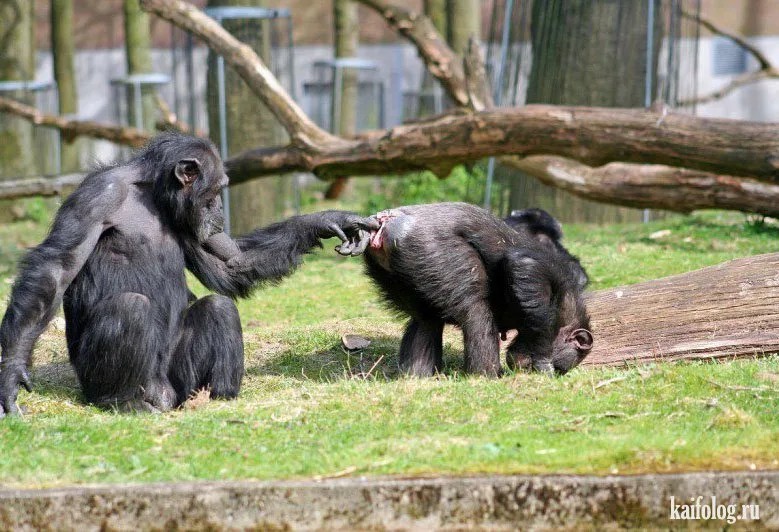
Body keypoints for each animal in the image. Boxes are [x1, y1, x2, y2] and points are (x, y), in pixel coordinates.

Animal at [0, 133, 378, 416]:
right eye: (215, 190)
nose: (220, 211)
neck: (151, 194)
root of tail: (166, 394)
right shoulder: (96, 197)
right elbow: (55, 268)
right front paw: (10, 375)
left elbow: (232, 263)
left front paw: (329, 220)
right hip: (114, 380)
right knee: (130, 307)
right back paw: (123, 401)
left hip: (178, 378)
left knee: (218, 307)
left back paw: (217, 397)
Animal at [338, 202, 596, 376]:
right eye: (560, 368)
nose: (556, 371)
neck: (568, 311)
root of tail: (384, 222)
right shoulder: (552, 271)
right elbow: (524, 266)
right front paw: (542, 361)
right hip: (433, 249)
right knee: (475, 311)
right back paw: (486, 375)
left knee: (425, 319)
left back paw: (417, 375)